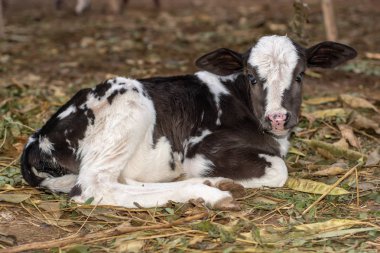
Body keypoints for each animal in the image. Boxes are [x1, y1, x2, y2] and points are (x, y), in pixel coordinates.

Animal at [22, 35, 358, 210]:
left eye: (300, 75)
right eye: (251, 77)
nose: (277, 117)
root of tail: (36, 139)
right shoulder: (200, 148)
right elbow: (279, 170)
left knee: (119, 180)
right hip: (129, 103)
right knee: (93, 186)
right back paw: (211, 193)